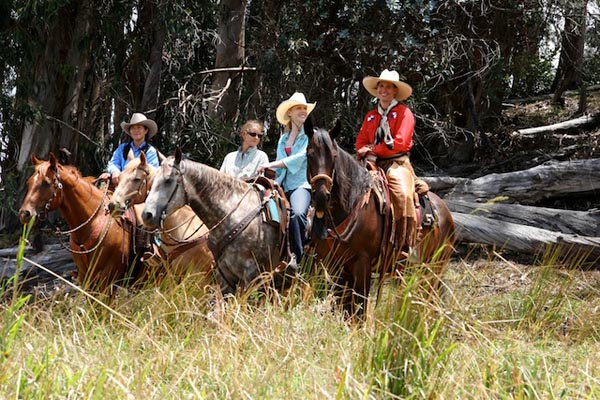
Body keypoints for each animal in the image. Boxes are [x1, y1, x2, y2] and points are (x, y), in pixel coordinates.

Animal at [18, 154, 138, 290]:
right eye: (29, 182)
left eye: (46, 183)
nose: (24, 213)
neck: (94, 221)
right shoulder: (84, 277)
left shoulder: (107, 278)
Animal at [308, 120, 458, 318]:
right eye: (308, 155)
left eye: (333, 156)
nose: (320, 197)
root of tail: (446, 212)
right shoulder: (334, 265)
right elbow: (344, 310)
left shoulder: (362, 265)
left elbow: (359, 311)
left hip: (434, 268)